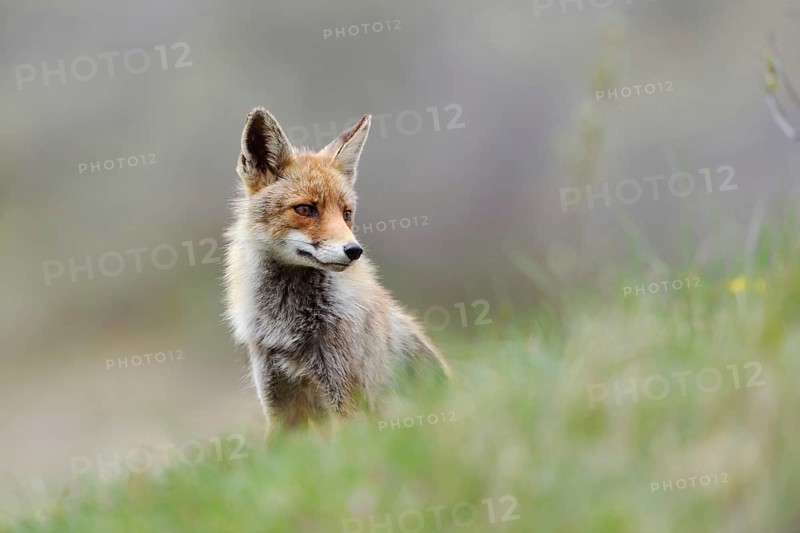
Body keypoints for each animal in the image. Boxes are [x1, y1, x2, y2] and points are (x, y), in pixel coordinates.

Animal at [223, 107, 451, 433]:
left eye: (346, 214)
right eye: (305, 209)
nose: (354, 251)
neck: (289, 326)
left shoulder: (346, 395)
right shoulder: (278, 403)